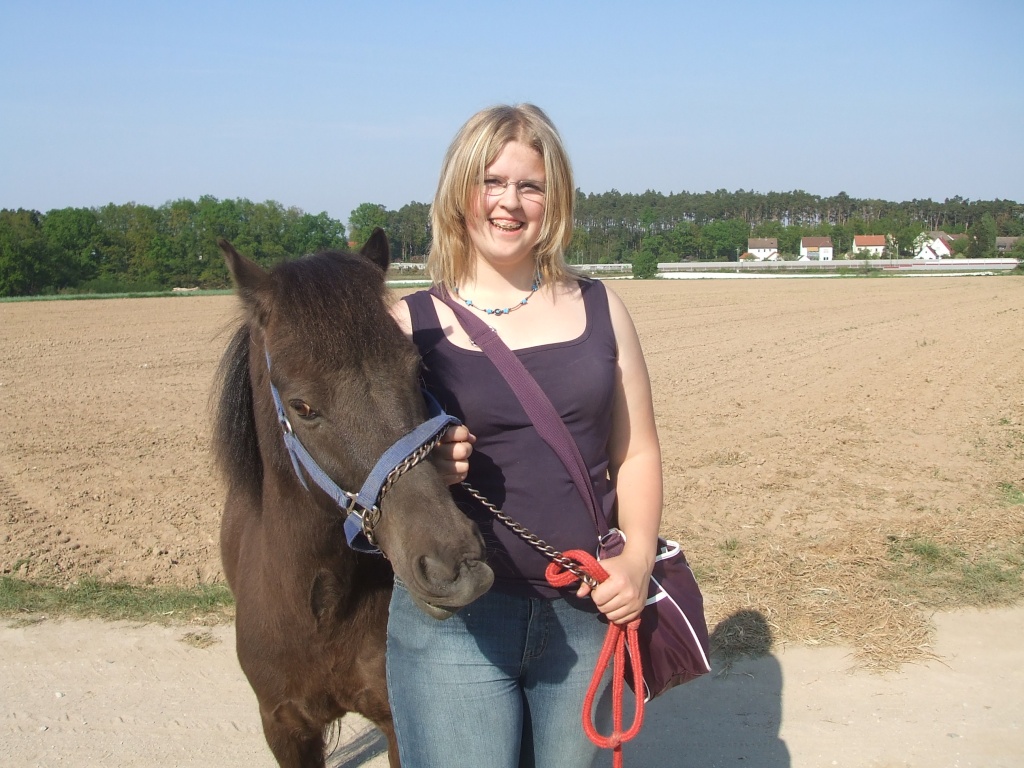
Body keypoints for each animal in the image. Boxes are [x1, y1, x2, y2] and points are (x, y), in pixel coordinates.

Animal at [213, 229, 494, 767]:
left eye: (416, 371)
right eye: (302, 406)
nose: (455, 564)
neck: (320, 606)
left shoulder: (397, 721)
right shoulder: (285, 727)